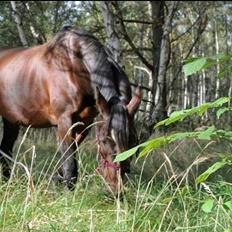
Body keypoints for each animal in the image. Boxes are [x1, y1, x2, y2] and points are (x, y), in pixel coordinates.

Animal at [0, 25, 141, 192]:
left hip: (11, 120)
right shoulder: (64, 121)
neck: (76, 65)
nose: (116, 189)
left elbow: (66, 162)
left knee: (5, 149)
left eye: (133, 140)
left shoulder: (84, 123)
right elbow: (69, 166)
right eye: (104, 140)